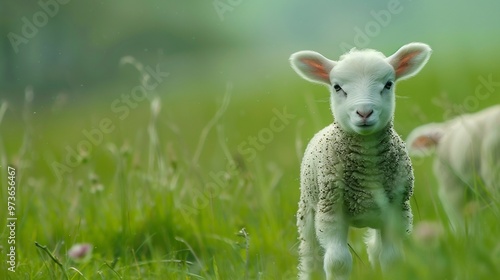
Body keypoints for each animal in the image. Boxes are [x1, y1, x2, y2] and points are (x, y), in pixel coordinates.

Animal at [292, 42, 432, 280]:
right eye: (337, 87)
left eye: (388, 84)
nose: (364, 112)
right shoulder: (331, 211)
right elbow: (338, 262)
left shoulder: (397, 210)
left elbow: (392, 259)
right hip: (308, 210)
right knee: (311, 258)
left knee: (375, 249)